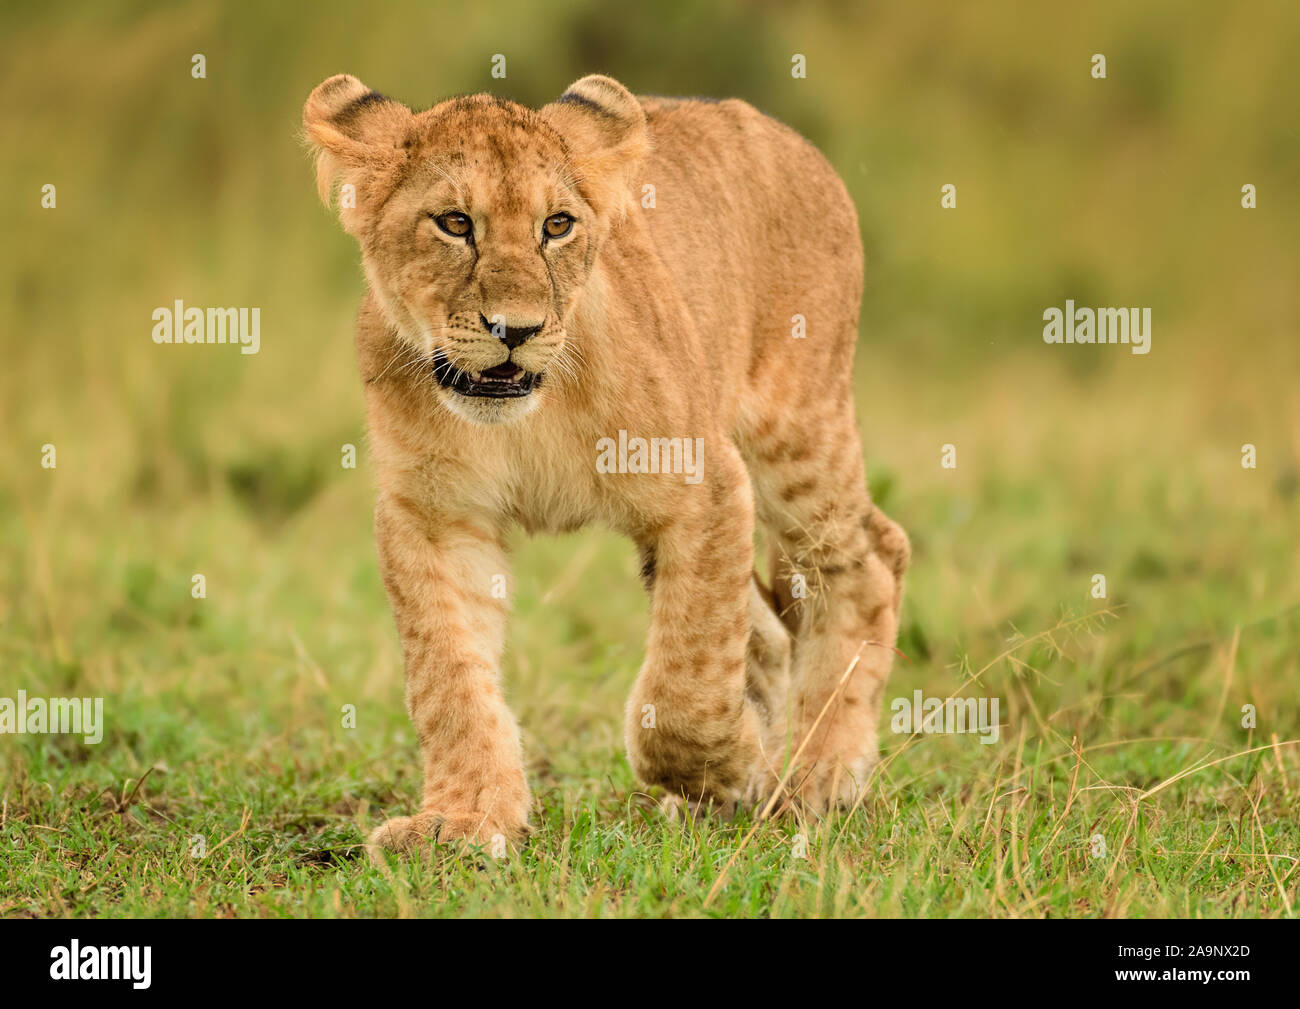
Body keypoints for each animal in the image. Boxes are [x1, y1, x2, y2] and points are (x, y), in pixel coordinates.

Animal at [302, 73, 910, 855]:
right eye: (454, 223)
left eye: (557, 225)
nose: (515, 330)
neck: (525, 419)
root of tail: (793, 141)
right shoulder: (434, 516)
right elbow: (449, 676)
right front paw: (462, 822)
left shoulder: (706, 485)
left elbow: (687, 678)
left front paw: (731, 765)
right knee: (773, 625)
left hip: (795, 430)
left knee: (870, 558)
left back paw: (819, 778)